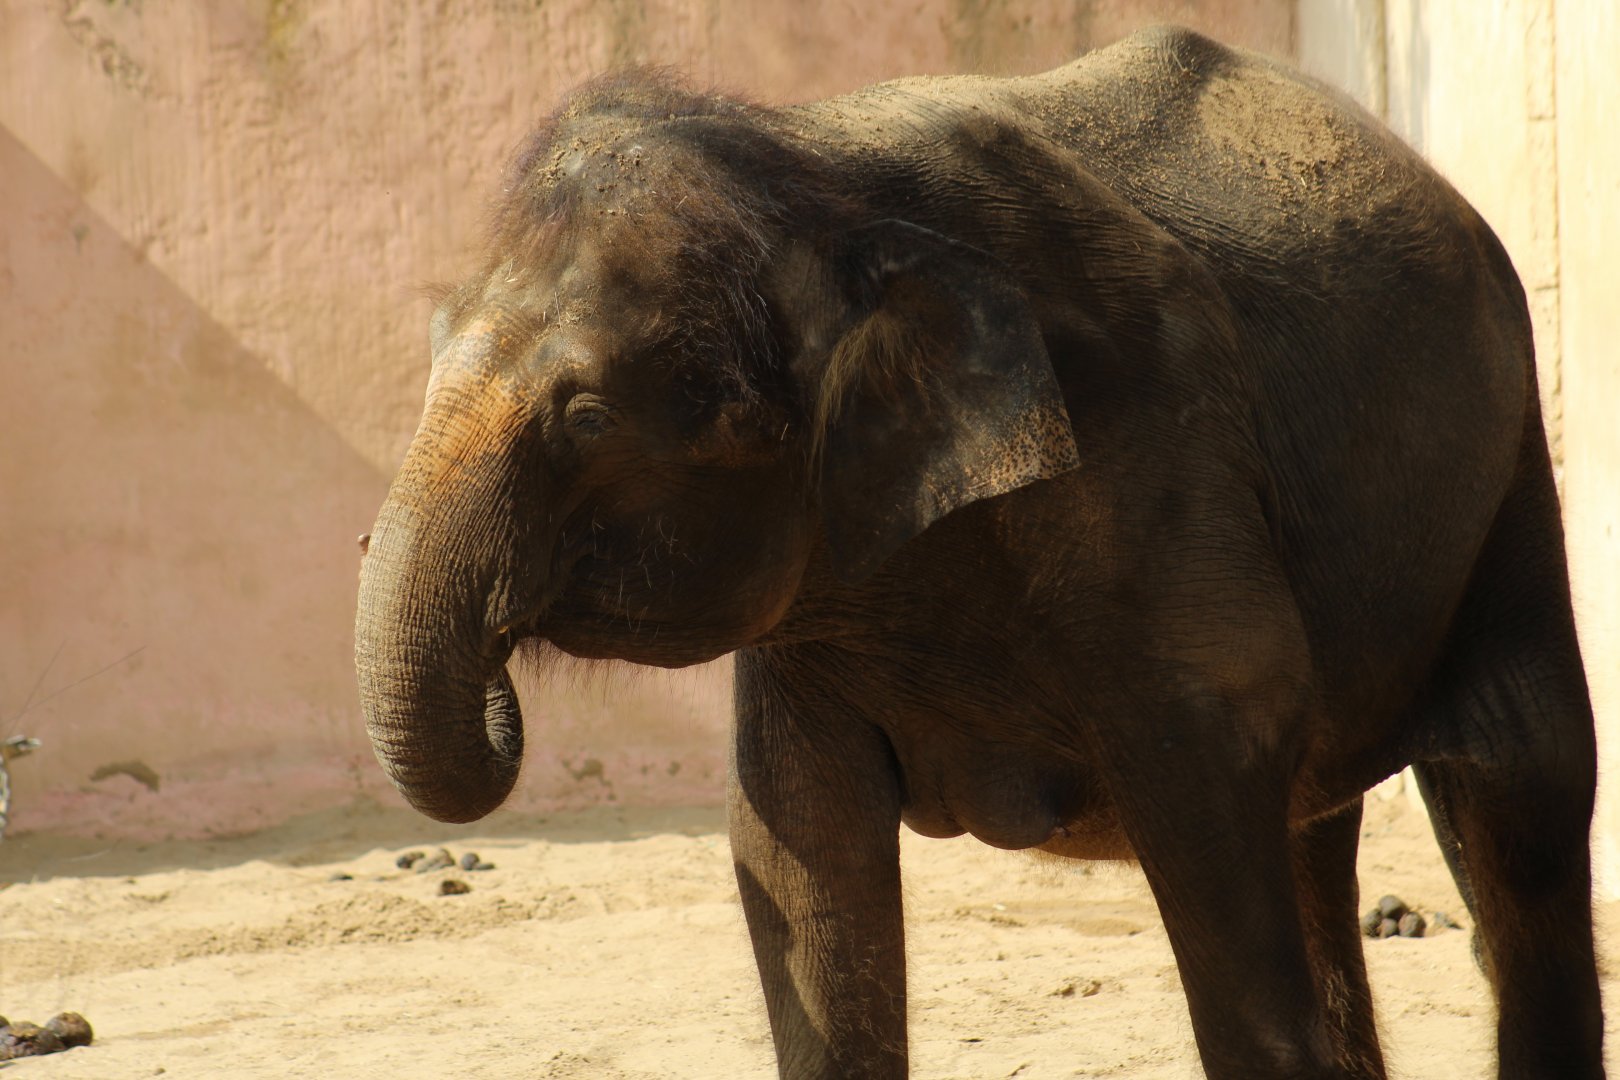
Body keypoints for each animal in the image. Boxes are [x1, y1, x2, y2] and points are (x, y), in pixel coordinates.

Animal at [354, 26, 1604, 1079]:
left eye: (588, 417)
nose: (504, 655)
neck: (818, 181)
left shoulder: (1160, 465)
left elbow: (1214, 792)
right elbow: (797, 842)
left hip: (1507, 478)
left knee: (1522, 799)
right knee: (1318, 830)